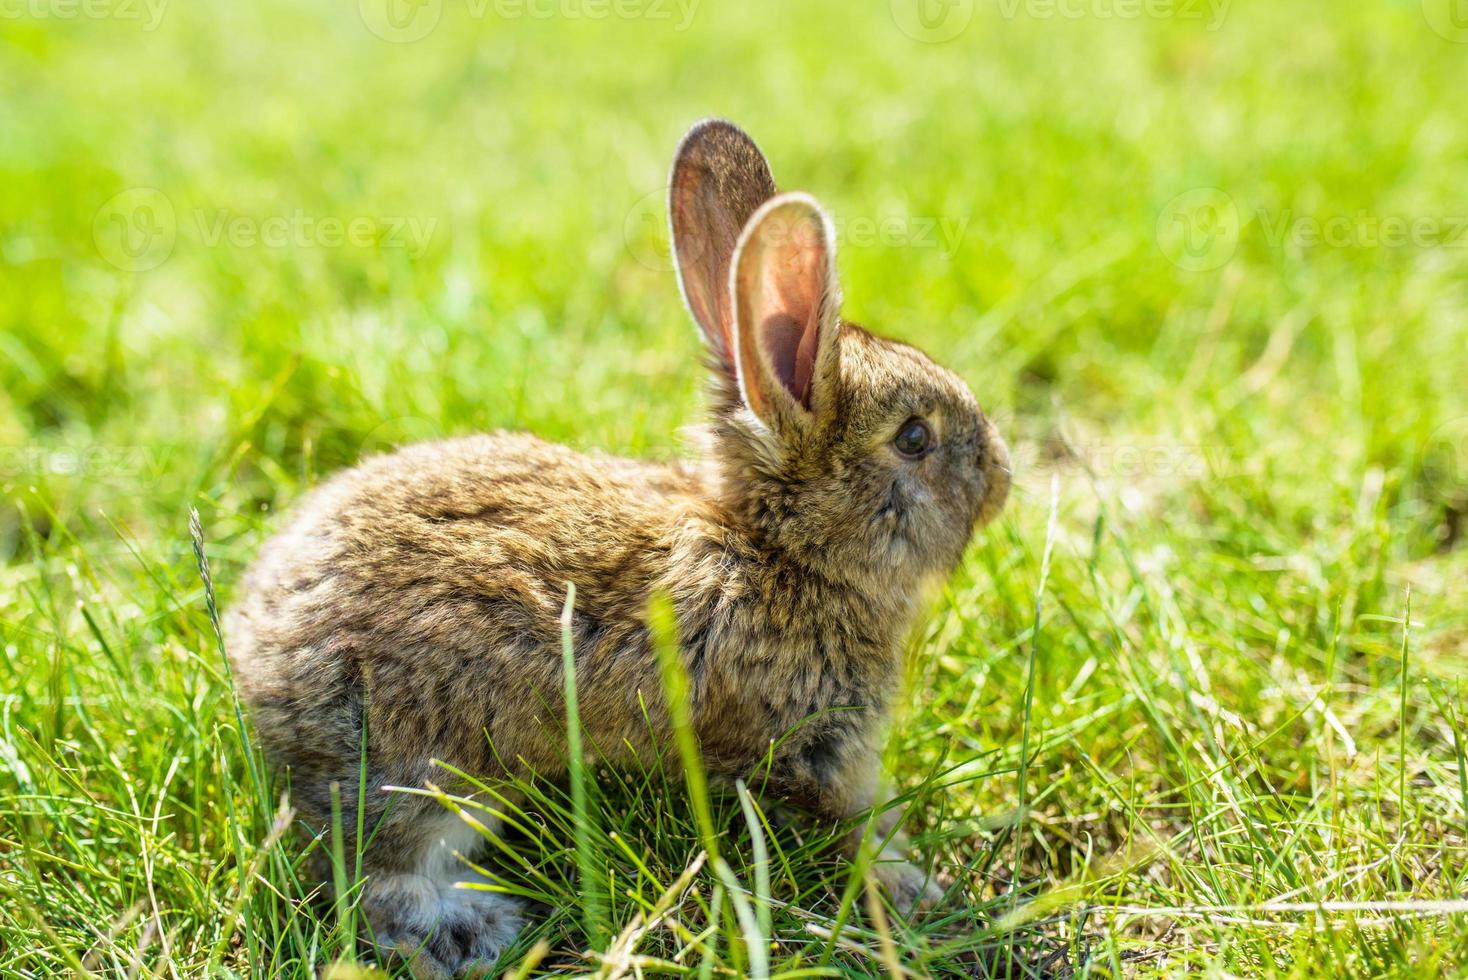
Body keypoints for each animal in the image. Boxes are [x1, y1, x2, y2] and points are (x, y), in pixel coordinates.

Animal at [226, 118, 1009, 974]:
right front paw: (915, 887)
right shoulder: (815, 749)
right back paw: (474, 928)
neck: (779, 551)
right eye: (914, 439)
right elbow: (853, 825)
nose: (1002, 477)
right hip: (431, 772)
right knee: (373, 876)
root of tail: (252, 654)